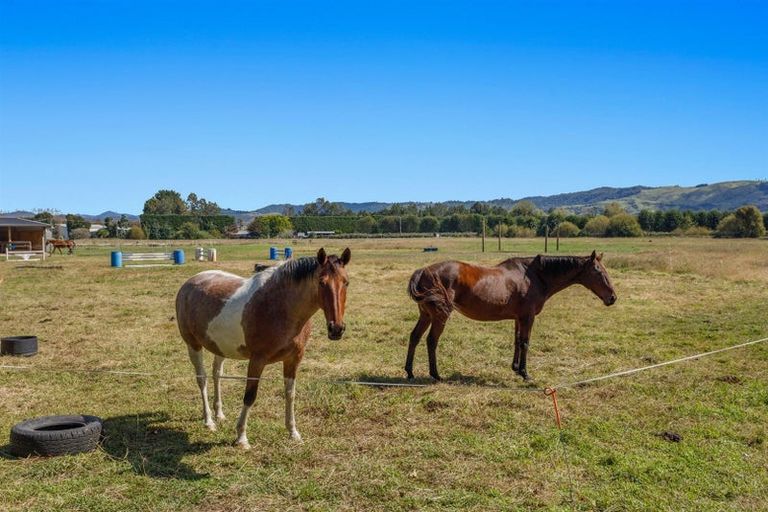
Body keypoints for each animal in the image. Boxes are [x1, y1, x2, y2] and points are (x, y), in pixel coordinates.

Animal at [175, 248, 352, 448]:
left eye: (346, 282)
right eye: (321, 282)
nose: (336, 329)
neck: (280, 307)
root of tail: (190, 283)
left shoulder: (294, 359)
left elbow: (290, 394)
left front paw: (293, 432)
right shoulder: (257, 360)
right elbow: (250, 396)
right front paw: (241, 437)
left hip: (220, 347)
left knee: (217, 374)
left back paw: (219, 414)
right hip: (193, 345)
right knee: (202, 379)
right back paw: (209, 421)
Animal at [408, 251, 616, 380]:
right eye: (598, 271)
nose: (612, 297)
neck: (535, 276)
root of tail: (423, 271)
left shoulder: (518, 318)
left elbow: (517, 341)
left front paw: (515, 368)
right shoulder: (528, 317)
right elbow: (525, 343)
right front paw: (524, 373)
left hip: (426, 315)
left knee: (415, 337)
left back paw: (409, 372)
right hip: (439, 316)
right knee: (431, 341)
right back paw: (435, 374)